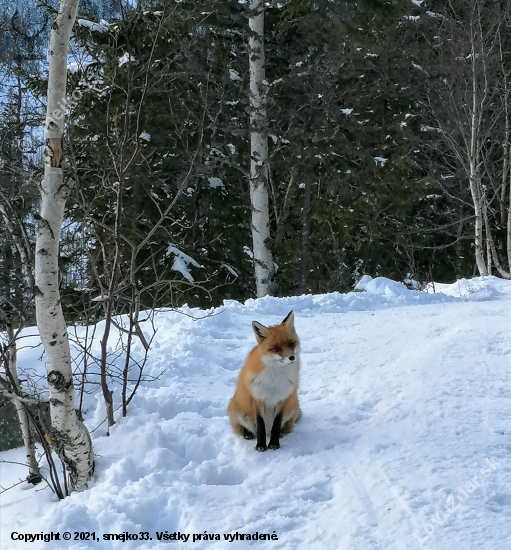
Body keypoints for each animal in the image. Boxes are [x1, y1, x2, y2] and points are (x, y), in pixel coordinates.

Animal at [228, 310, 300, 452]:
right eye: (276, 348)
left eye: (291, 343)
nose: (292, 357)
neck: (275, 379)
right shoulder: (257, 399)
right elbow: (260, 426)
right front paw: (261, 445)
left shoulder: (283, 399)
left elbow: (277, 425)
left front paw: (274, 443)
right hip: (239, 412)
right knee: (243, 428)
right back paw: (248, 434)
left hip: (293, 408)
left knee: (284, 427)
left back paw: (281, 434)